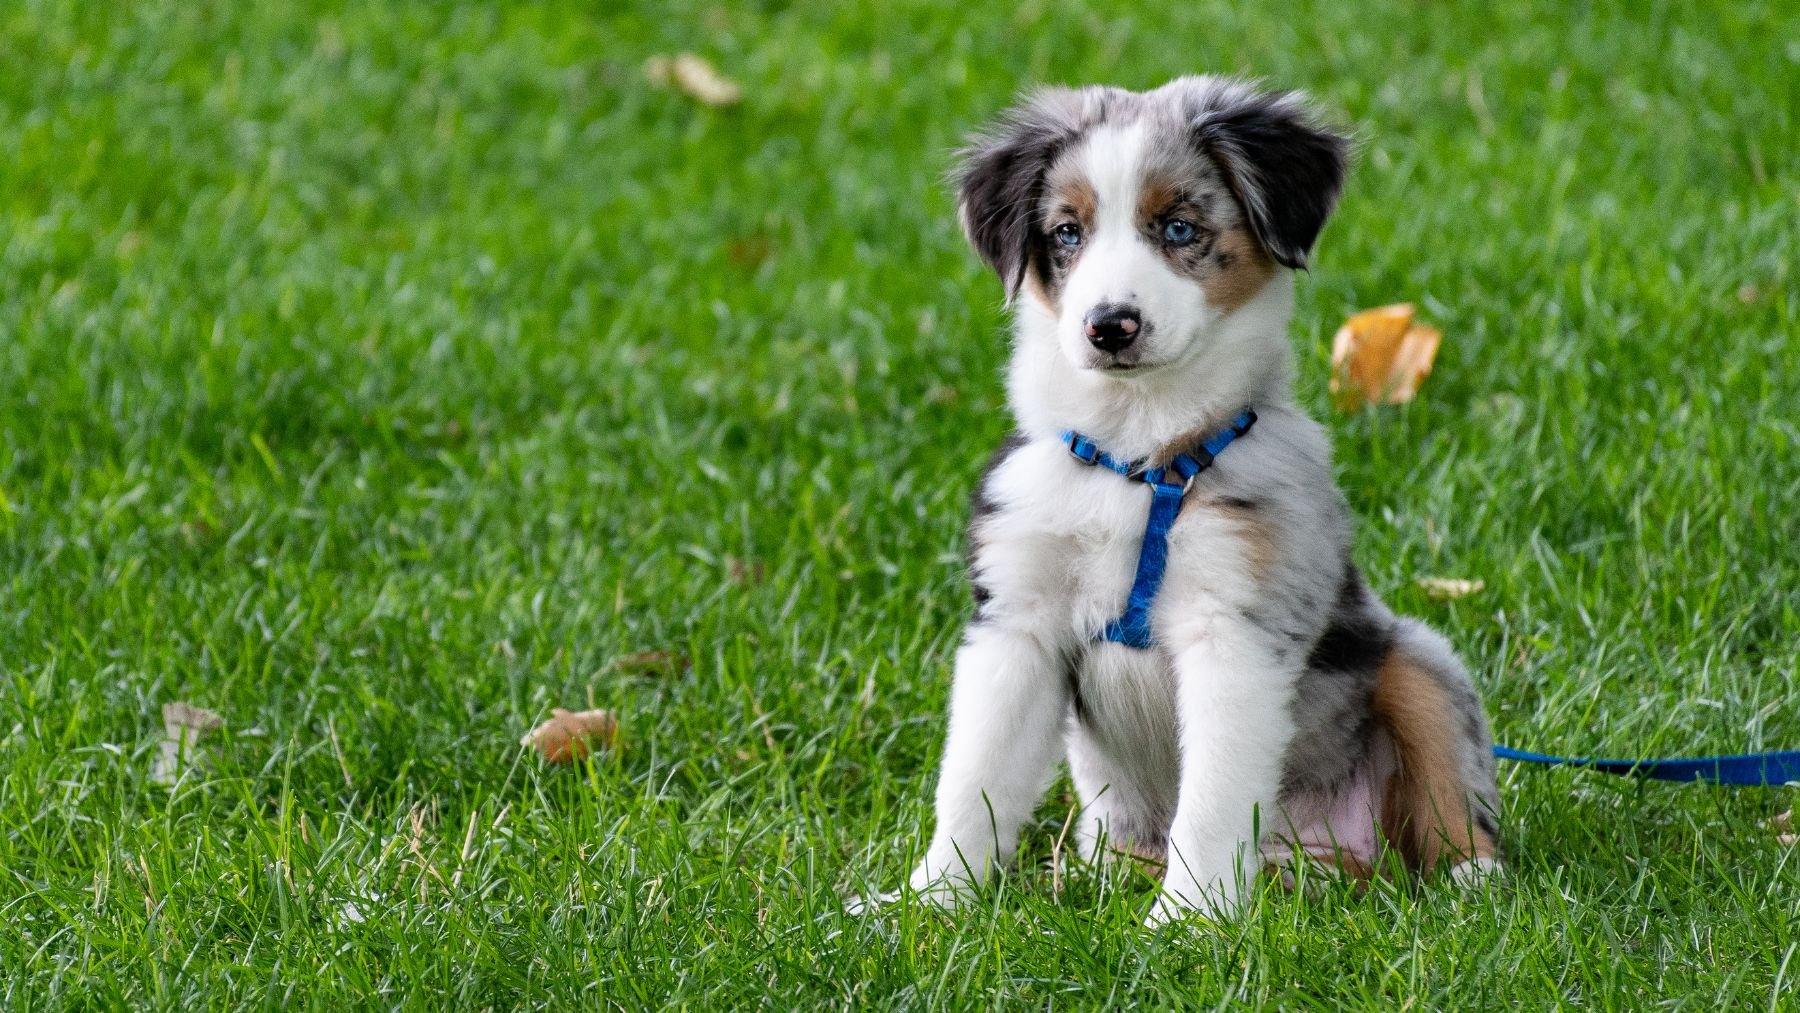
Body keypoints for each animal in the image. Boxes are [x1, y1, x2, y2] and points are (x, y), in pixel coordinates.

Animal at [871, 75, 1504, 921]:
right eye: (1066, 233)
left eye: (1179, 227)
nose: (1110, 326)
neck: (1138, 459)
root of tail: (1316, 859)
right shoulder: (1016, 624)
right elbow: (975, 782)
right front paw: (929, 902)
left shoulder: (1234, 632)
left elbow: (1210, 799)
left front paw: (1189, 922)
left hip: (1418, 660)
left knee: (1446, 794)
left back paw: (1472, 880)